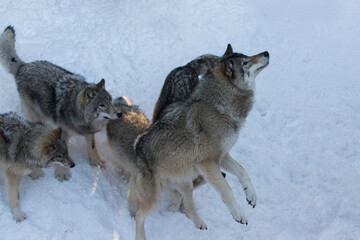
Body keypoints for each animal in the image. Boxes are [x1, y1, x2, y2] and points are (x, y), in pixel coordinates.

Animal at [0, 26, 120, 181]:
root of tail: (23, 66)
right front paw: (62, 172)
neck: (77, 112)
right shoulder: (64, 134)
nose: (119, 113)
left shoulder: (88, 132)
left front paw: (96, 161)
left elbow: (92, 147)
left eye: (110, 101)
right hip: (37, 115)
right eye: (101, 105)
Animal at [134, 44, 268, 239]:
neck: (222, 108)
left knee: (184, 205)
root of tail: (137, 147)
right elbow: (227, 190)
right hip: (156, 199)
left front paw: (251, 195)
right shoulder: (208, 163)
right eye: (245, 62)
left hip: (185, 184)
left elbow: (243, 172)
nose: (266, 53)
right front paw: (239, 214)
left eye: (247, 56)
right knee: (139, 215)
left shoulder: (223, 156)